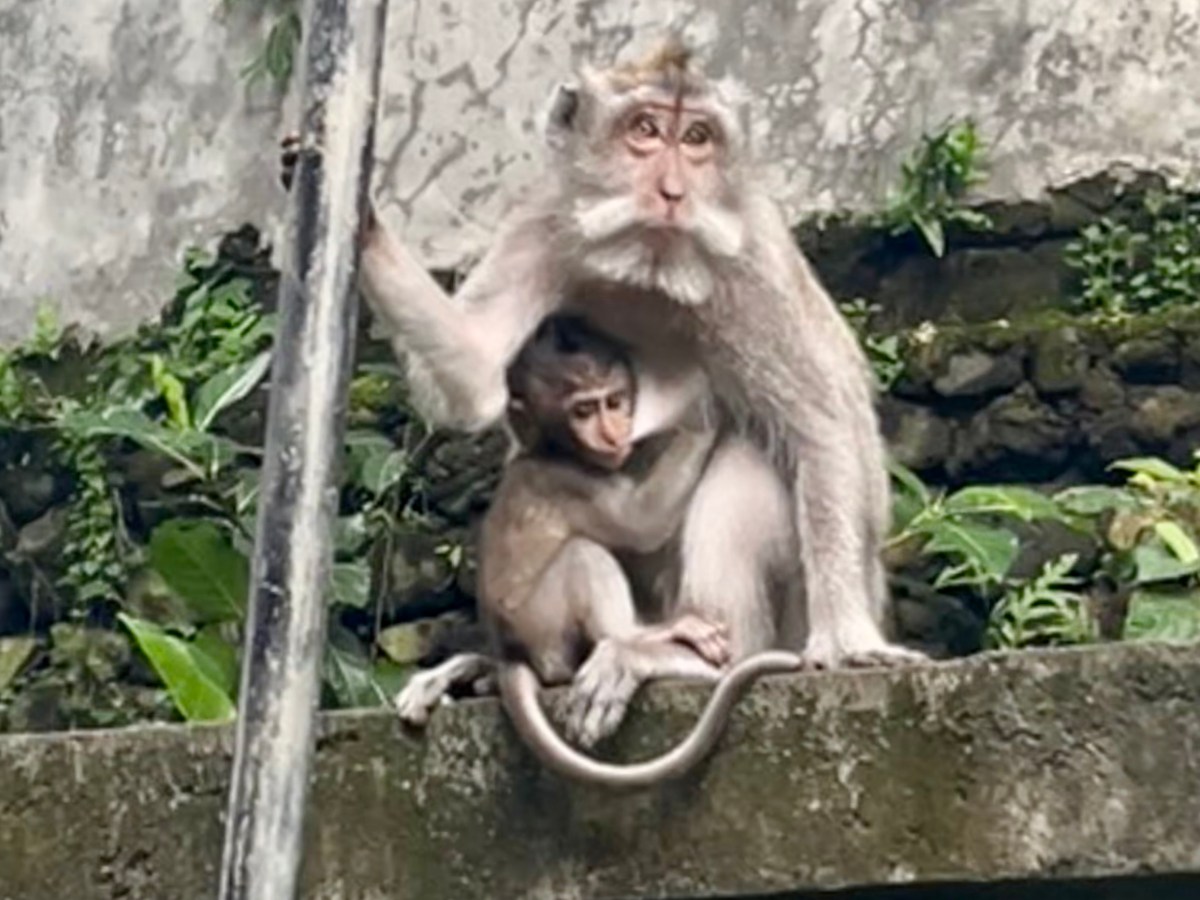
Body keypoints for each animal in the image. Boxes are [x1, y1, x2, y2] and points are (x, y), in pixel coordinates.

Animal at [396, 315, 802, 787]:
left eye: (615, 400)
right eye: (585, 410)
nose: (614, 432)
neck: (551, 448)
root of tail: (514, 651)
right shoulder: (571, 480)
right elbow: (644, 519)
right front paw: (705, 409)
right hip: (544, 626)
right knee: (582, 558)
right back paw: (641, 637)